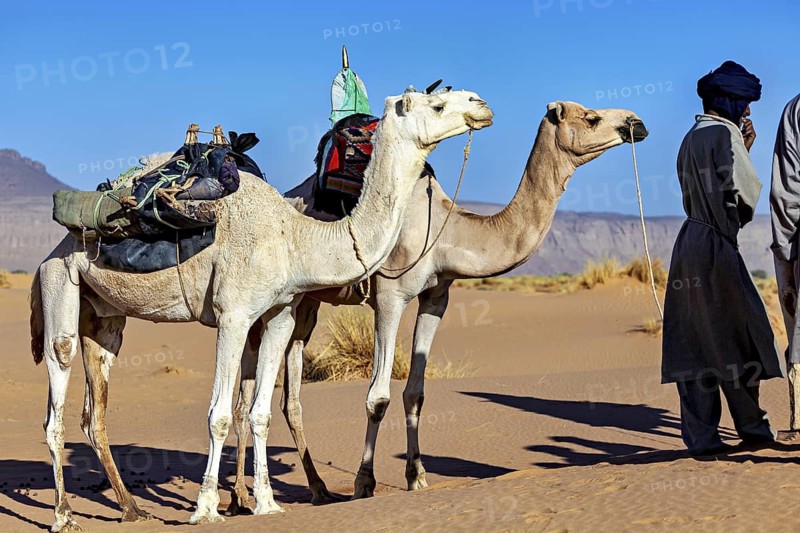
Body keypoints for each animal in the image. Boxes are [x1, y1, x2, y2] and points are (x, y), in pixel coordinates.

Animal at [29, 88, 493, 532]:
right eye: (437, 103)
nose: (481, 105)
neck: (295, 239)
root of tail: (48, 254)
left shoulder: (280, 314)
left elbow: (262, 413)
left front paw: (267, 504)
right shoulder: (233, 315)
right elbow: (219, 414)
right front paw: (206, 508)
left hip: (105, 315)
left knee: (94, 411)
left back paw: (131, 510)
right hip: (60, 281)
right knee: (57, 394)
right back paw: (64, 516)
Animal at [227, 101, 649, 508]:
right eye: (591, 118)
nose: (637, 124)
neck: (447, 233)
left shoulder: (437, 296)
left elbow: (415, 393)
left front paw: (417, 477)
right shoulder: (390, 295)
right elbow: (378, 397)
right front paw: (365, 482)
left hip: (307, 304)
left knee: (291, 397)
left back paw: (316, 488)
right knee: (246, 396)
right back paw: (241, 497)